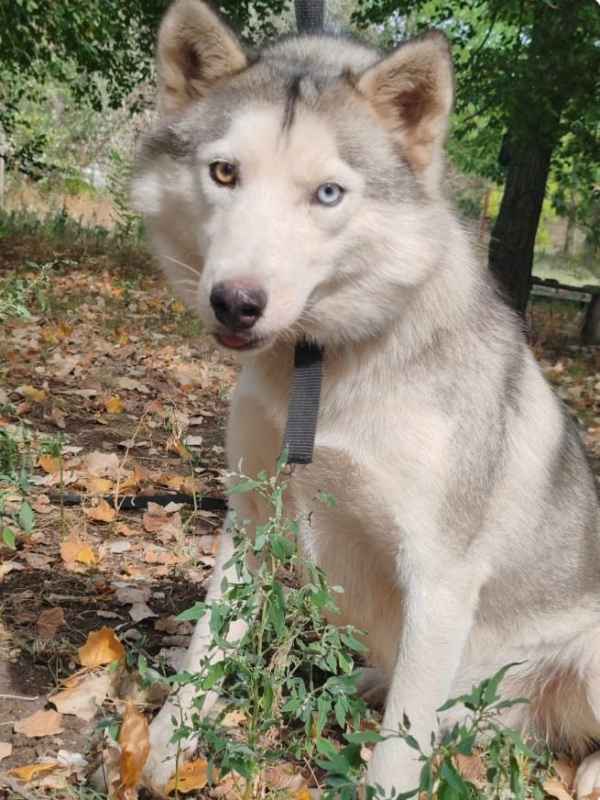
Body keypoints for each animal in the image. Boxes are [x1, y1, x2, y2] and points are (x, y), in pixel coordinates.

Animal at [132, 3, 600, 796]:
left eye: (328, 193)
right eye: (224, 172)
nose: (236, 303)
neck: (318, 367)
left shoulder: (439, 575)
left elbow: (398, 751)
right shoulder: (251, 519)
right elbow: (205, 651)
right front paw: (164, 750)